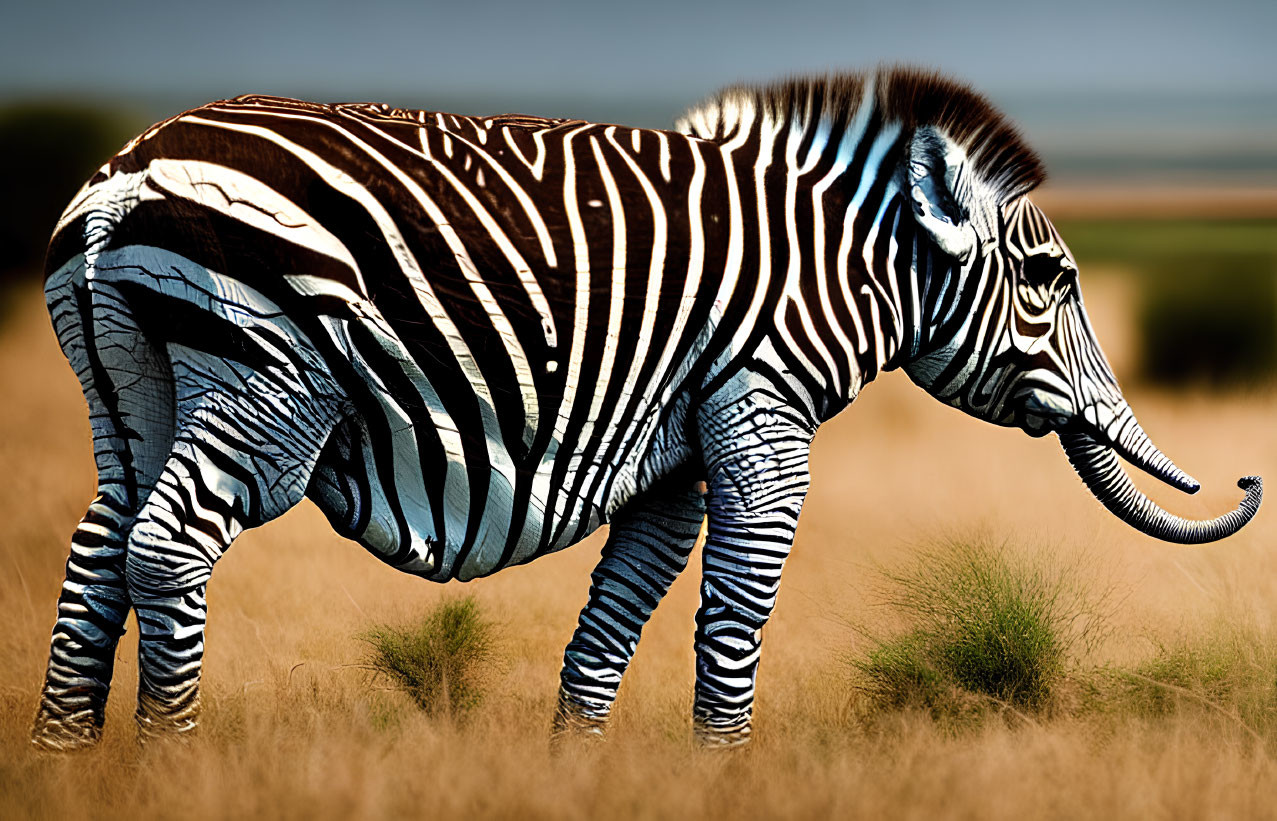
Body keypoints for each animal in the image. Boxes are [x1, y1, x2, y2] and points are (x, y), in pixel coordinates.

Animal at [27, 68, 1256, 750]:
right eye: (1047, 280)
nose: (1245, 474)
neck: (843, 270)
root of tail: (129, 171)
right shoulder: (760, 398)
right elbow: (737, 608)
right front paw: (725, 767)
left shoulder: (675, 449)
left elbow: (615, 616)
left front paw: (577, 766)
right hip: (269, 381)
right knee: (169, 544)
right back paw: (177, 756)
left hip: (128, 388)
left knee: (99, 546)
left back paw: (70, 756)